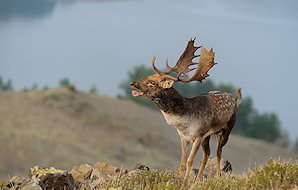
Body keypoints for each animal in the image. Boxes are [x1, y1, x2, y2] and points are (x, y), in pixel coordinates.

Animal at [129, 38, 241, 181]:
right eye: (147, 76)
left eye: (152, 83)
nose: (132, 83)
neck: (184, 122)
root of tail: (234, 99)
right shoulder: (184, 137)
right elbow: (182, 162)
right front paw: (179, 179)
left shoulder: (199, 134)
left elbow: (189, 161)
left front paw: (185, 181)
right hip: (208, 137)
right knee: (207, 154)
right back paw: (197, 180)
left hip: (226, 130)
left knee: (218, 152)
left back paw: (216, 176)